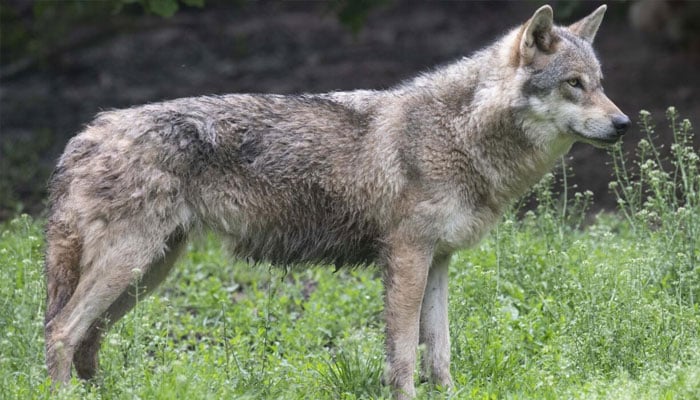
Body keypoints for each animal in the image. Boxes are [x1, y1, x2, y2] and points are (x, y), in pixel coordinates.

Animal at [44, 4, 628, 398]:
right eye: (574, 84)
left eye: (600, 83)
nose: (623, 123)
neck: (458, 134)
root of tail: (85, 135)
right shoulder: (407, 258)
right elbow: (403, 355)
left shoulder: (439, 260)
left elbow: (439, 352)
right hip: (130, 267)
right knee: (60, 333)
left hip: (148, 272)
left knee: (87, 340)